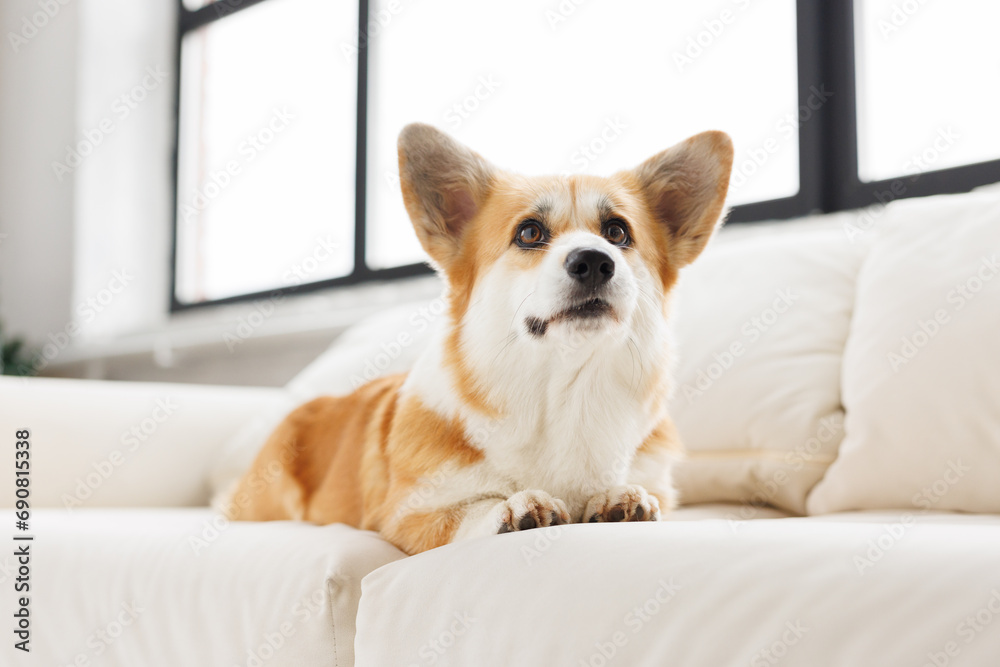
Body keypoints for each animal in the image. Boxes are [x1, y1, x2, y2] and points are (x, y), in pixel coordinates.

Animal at [227, 122, 732, 556]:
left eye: (617, 232)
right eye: (529, 232)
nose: (594, 261)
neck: (564, 388)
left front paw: (620, 499)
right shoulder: (406, 517)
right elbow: (469, 511)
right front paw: (513, 507)